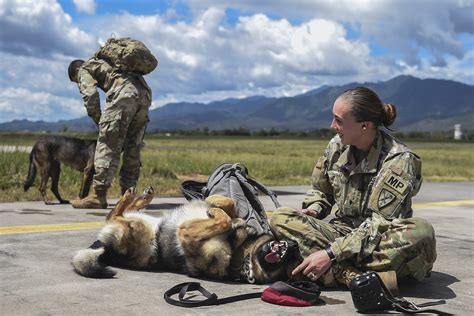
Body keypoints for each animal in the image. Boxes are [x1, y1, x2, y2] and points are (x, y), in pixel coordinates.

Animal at [72, 186, 292, 282]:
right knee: (115, 213)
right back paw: (140, 196)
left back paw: (133, 195)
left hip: (135, 227)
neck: (237, 247)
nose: (291, 247)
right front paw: (214, 202)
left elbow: (224, 220)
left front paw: (215, 211)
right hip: (140, 221)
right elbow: (229, 206)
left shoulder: (186, 232)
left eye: (277, 267)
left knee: (114, 215)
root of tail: (104, 248)